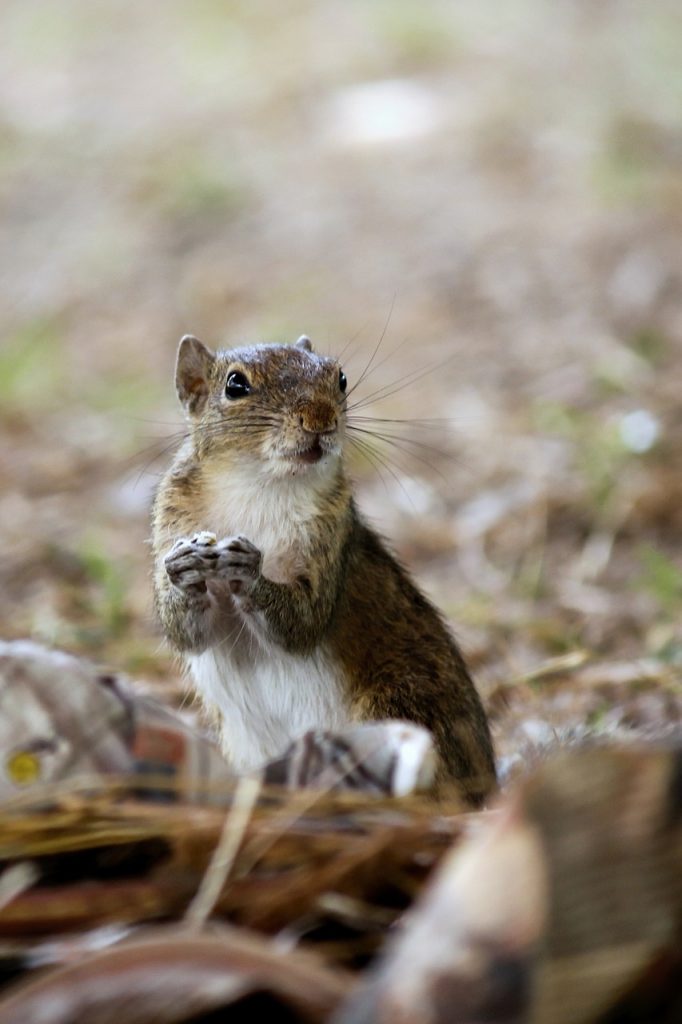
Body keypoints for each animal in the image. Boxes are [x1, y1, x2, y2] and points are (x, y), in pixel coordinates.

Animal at [151, 331, 493, 802]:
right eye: (235, 385)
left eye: (341, 377)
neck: (261, 485)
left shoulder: (332, 537)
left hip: (399, 702)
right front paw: (183, 569)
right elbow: (186, 633)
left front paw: (249, 571)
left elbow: (304, 621)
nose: (320, 419)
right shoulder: (172, 520)